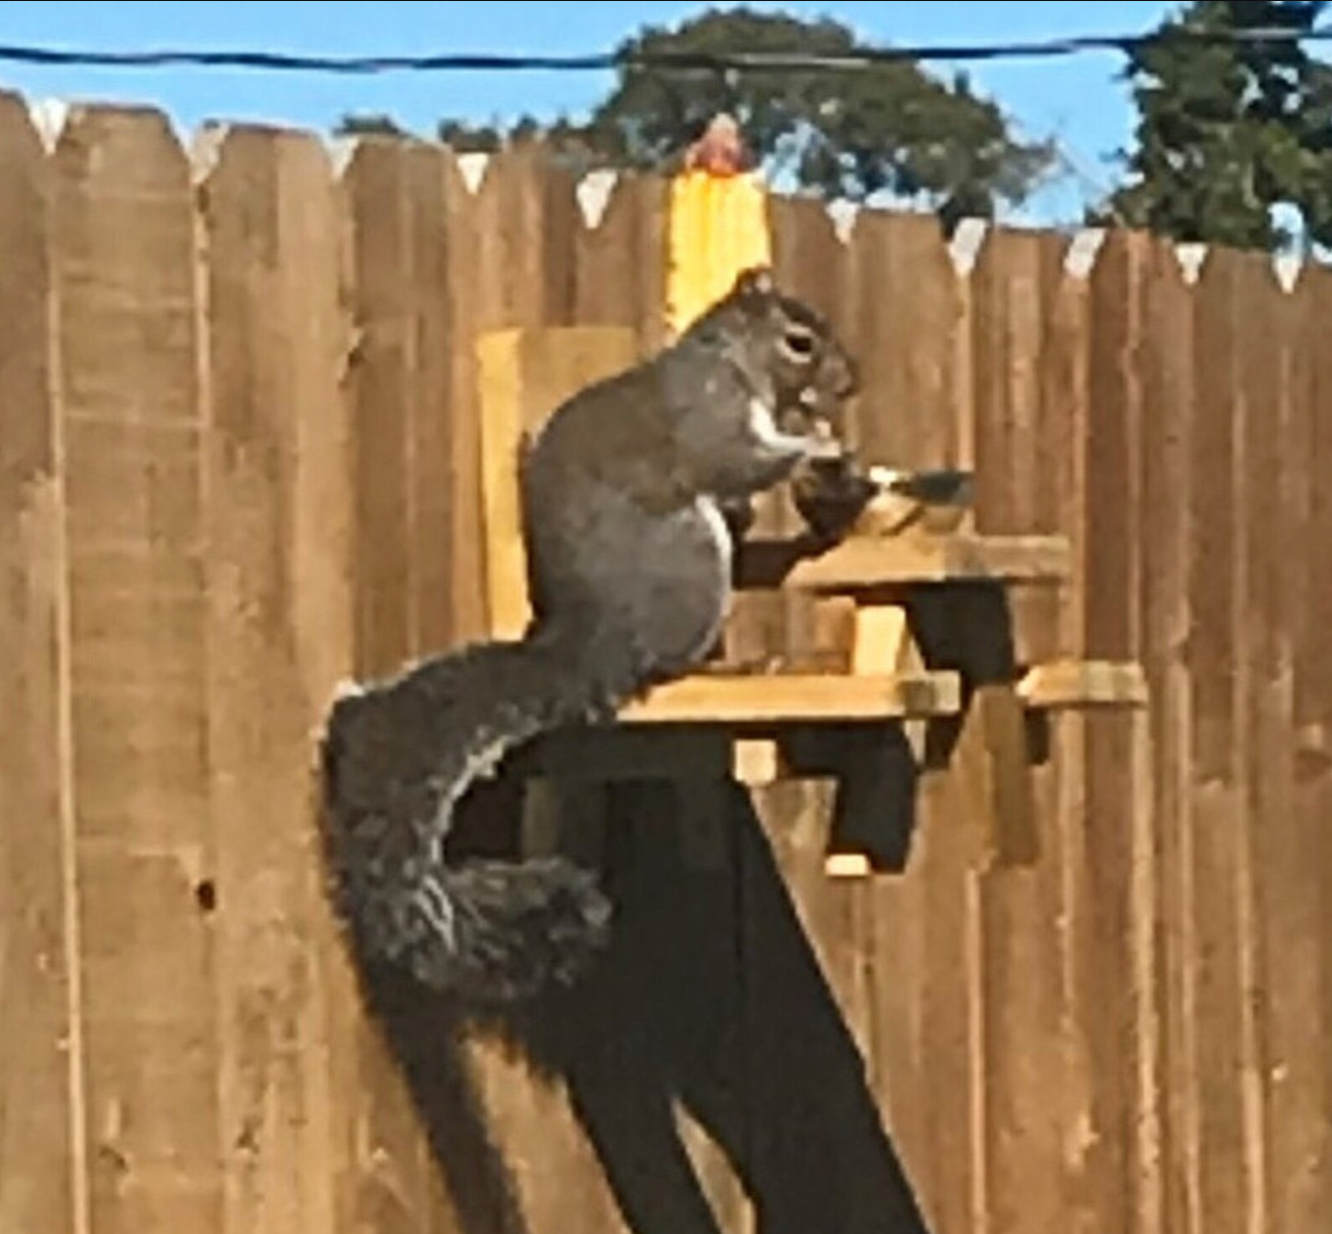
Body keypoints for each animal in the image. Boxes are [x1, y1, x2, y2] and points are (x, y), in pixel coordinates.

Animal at [317, 265, 868, 1007]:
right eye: (800, 340)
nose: (850, 383)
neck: (732, 358)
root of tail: (592, 644)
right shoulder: (708, 412)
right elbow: (737, 461)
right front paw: (817, 445)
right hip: (691, 560)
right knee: (662, 660)